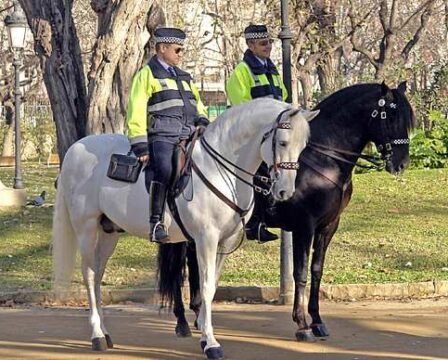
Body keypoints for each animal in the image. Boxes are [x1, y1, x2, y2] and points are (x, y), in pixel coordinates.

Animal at [52, 97, 318, 358]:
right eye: (283, 142)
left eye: (303, 146)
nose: (285, 191)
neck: (220, 168)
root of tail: (76, 148)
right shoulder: (205, 239)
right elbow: (206, 286)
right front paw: (211, 342)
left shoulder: (225, 241)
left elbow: (211, 286)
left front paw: (203, 334)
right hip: (86, 229)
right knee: (89, 275)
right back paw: (97, 335)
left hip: (109, 233)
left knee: (98, 276)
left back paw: (106, 333)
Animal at [158, 81, 416, 344]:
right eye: (389, 116)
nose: (402, 163)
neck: (323, 161)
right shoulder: (305, 226)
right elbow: (299, 274)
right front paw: (302, 324)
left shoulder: (328, 226)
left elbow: (316, 271)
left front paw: (317, 320)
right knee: (179, 269)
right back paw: (182, 321)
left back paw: (198, 314)